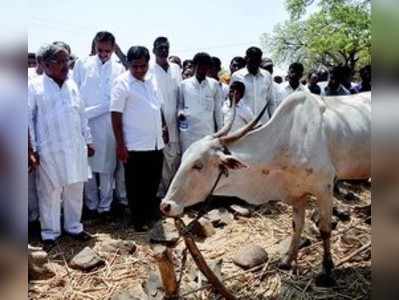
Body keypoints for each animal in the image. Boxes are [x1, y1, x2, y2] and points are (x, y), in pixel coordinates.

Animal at [160, 91, 372, 284]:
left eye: (198, 165)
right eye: (183, 158)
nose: (165, 205)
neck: (287, 141)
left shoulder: (324, 187)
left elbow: (325, 229)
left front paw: (327, 269)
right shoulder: (297, 193)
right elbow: (297, 225)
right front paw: (287, 260)